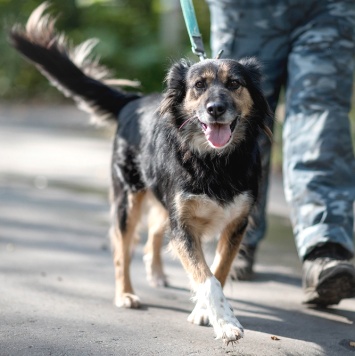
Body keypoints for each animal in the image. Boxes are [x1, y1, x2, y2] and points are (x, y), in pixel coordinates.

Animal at [10, 1, 272, 344]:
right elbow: (206, 277)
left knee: (154, 235)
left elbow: (218, 271)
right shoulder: (183, 224)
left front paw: (206, 312)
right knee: (122, 251)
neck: (214, 161)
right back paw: (125, 294)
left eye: (234, 84)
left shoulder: (235, 224)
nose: (215, 109)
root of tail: (130, 103)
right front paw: (225, 322)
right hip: (128, 201)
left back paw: (157, 273)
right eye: (198, 86)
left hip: (161, 200)